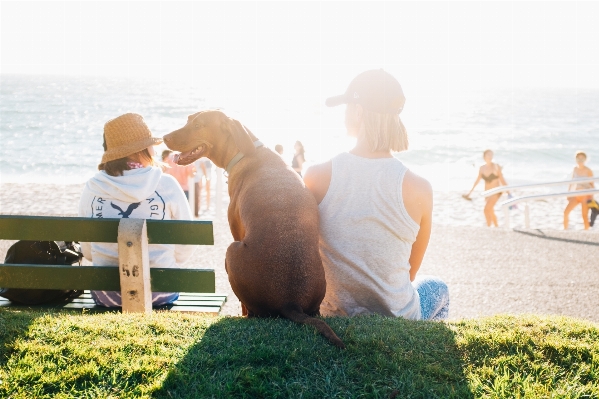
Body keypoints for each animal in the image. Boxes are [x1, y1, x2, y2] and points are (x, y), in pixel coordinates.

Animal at [164, 110, 344, 350]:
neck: (245, 151)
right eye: (188, 120)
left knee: (250, 311)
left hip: (231, 250)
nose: (164, 137)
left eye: (199, 125)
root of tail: (291, 302)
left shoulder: (236, 231)